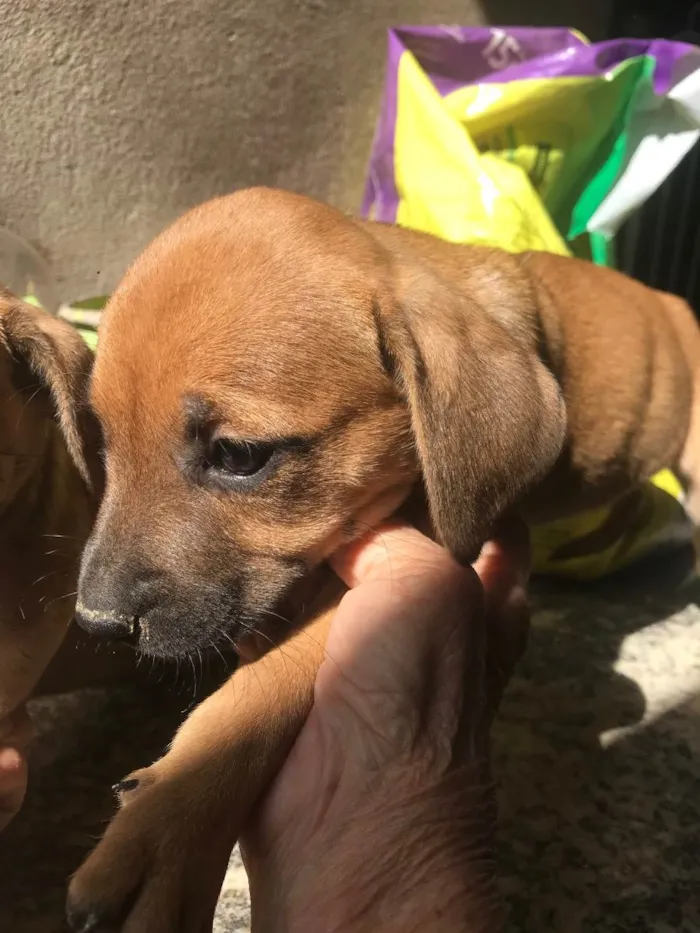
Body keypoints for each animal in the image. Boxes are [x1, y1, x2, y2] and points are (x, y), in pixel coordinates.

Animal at [64, 189, 700, 932]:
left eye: (239, 455)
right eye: (103, 441)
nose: (97, 622)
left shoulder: (428, 538)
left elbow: (269, 683)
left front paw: (166, 834)